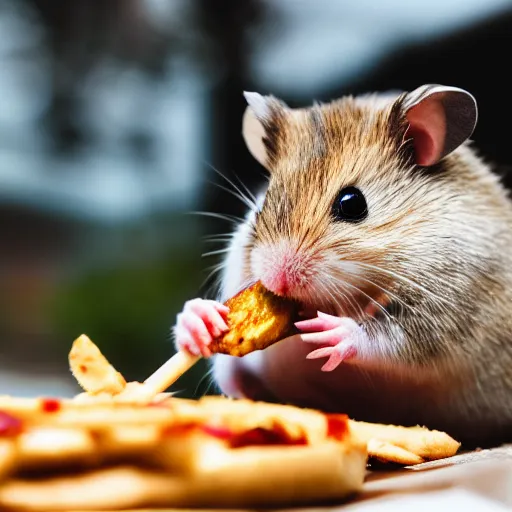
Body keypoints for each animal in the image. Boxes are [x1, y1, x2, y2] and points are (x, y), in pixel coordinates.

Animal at [175, 85, 512, 448]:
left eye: (352, 204)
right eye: (262, 204)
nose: (277, 281)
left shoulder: (446, 305)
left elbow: (390, 338)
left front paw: (331, 332)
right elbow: (234, 371)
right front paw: (200, 319)